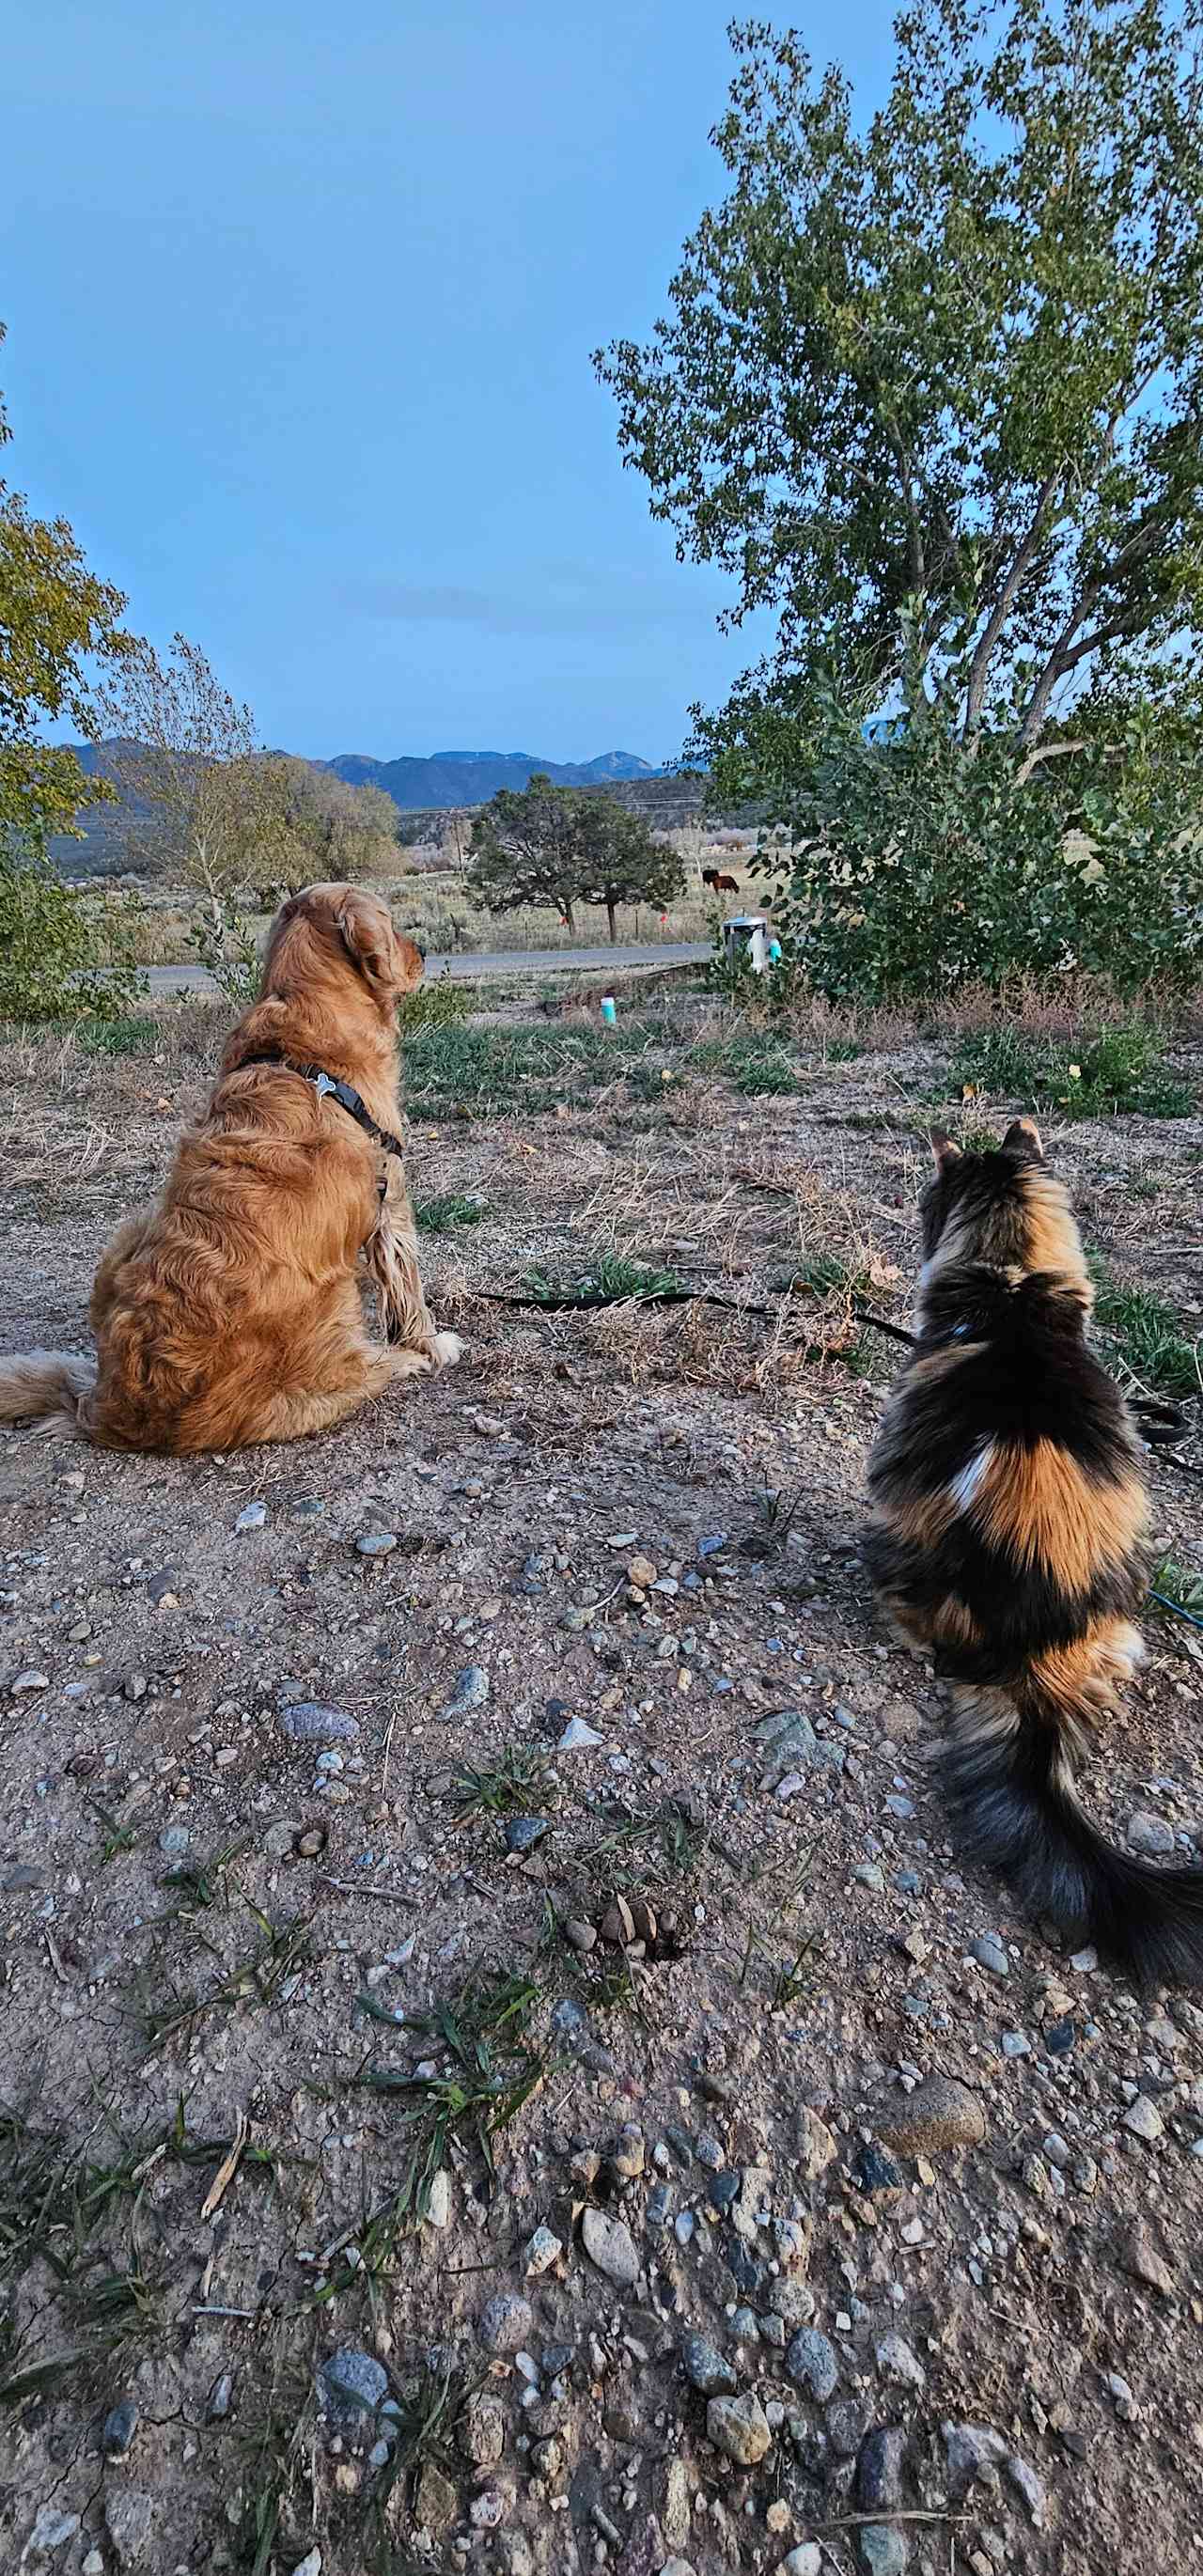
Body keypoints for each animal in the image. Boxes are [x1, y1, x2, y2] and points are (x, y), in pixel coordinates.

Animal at [0, 885, 461, 1452]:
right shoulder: (390, 1199)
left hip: (130, 1230)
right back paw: (401, 1359)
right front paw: (430, 1343)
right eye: (393, 922)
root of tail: (112, 1408)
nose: (423, 951)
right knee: (358, 1371)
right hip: (336, 1303)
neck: (304, 1024)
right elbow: (408, 1287)